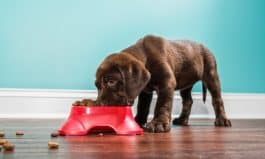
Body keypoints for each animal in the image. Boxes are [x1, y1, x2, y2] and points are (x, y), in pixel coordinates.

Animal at [94, 35, 229, 133]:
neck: (145, 56)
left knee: (217, 99)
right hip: (186, 84)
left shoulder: (166, 82)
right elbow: (143, 106)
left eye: (111, 82)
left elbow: (162, 104)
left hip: (211, 74)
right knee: (188, 101)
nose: (99, 105)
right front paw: (138, 121)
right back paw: (182, 120)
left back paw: (222, 120)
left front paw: (158, 123)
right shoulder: (145, 90)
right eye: (97, 86)